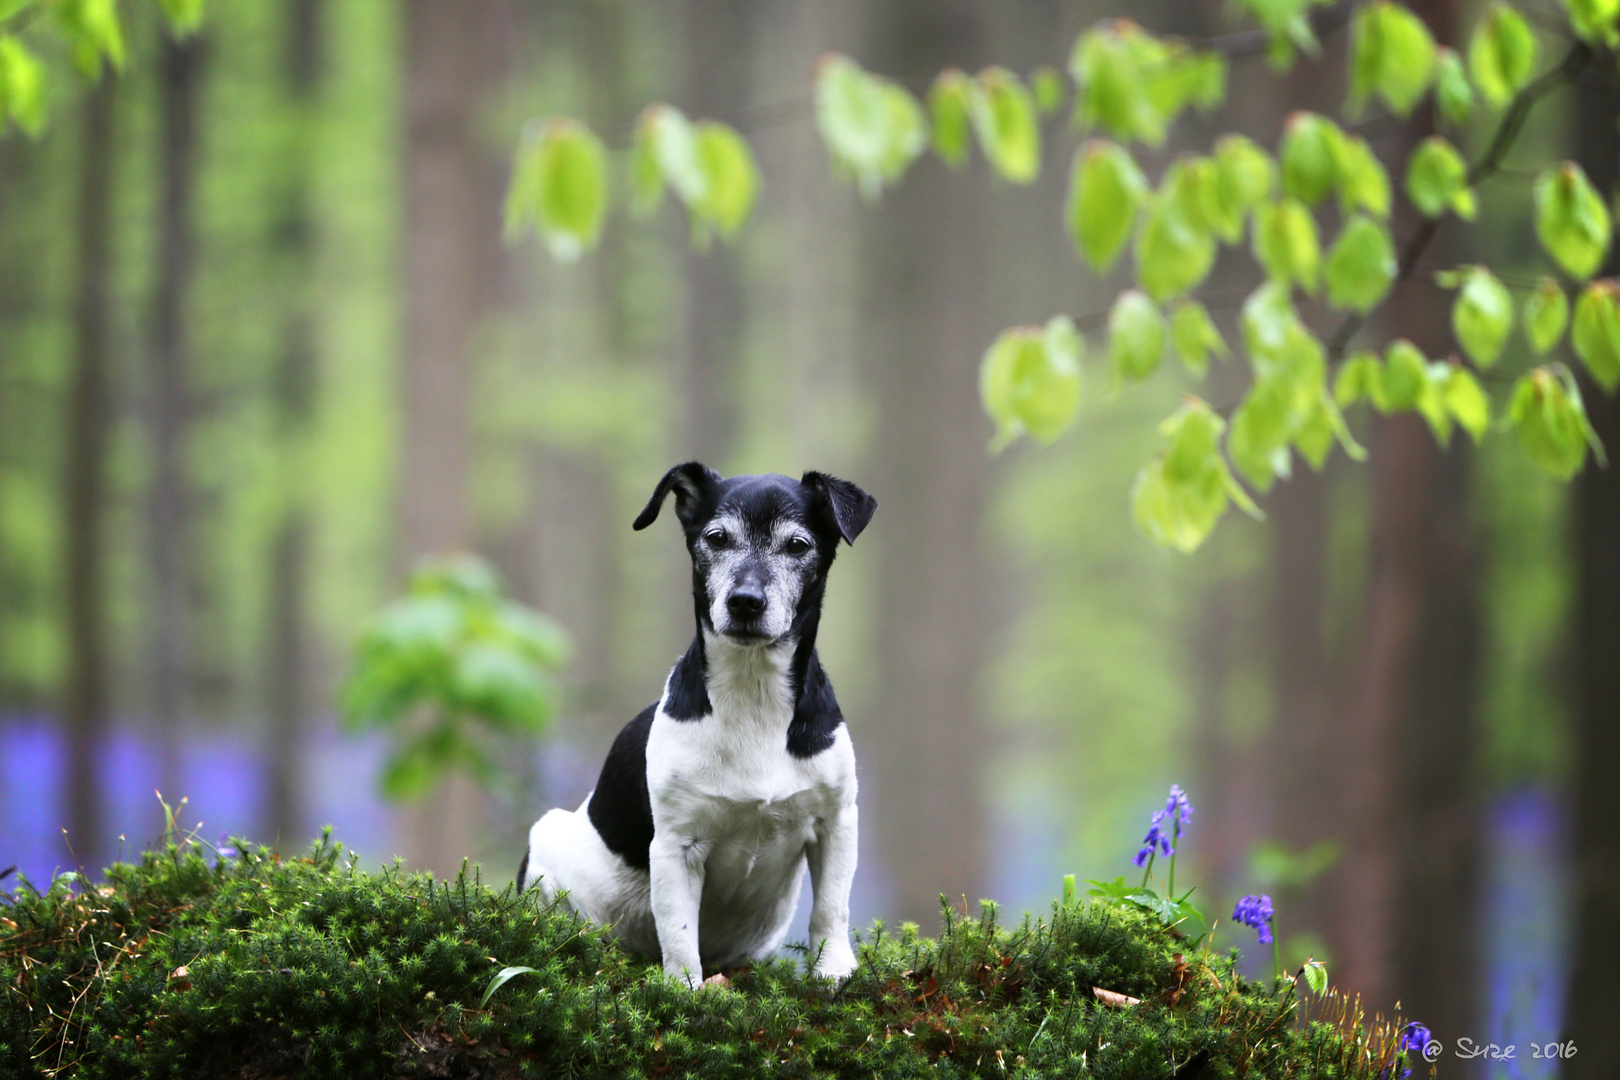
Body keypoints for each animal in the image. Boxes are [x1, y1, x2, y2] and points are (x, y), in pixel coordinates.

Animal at [515, 466, 874, 990]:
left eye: (798, 545)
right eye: (716, 538)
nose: (745, 601)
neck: (752, 696)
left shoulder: (836, 822)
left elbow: (831, 908)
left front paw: (833, 971)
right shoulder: (676, 846)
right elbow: (679, 932)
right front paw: (684, 993)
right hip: (546, 850)